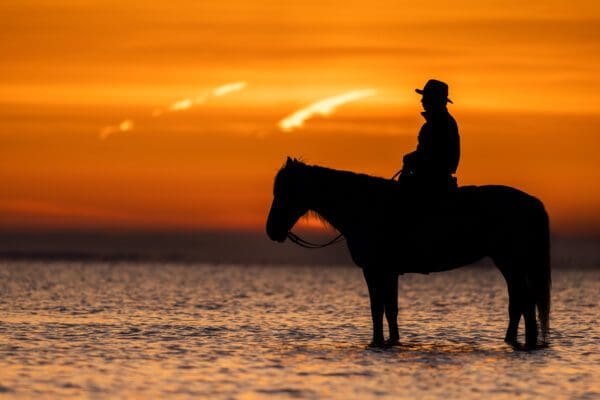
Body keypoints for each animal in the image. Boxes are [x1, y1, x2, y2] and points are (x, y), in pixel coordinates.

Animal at [264, 156, 552, 350]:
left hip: (511, 262)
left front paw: (377, 342)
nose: (271, 230)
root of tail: (532, 202)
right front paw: (392, 341)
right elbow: (390, 309)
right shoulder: (389, 272)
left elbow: (377, 308)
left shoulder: (375, 270)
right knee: (520, 302)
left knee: (524, 302)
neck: (363, 206)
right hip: (510, 264)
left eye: (284, 191)